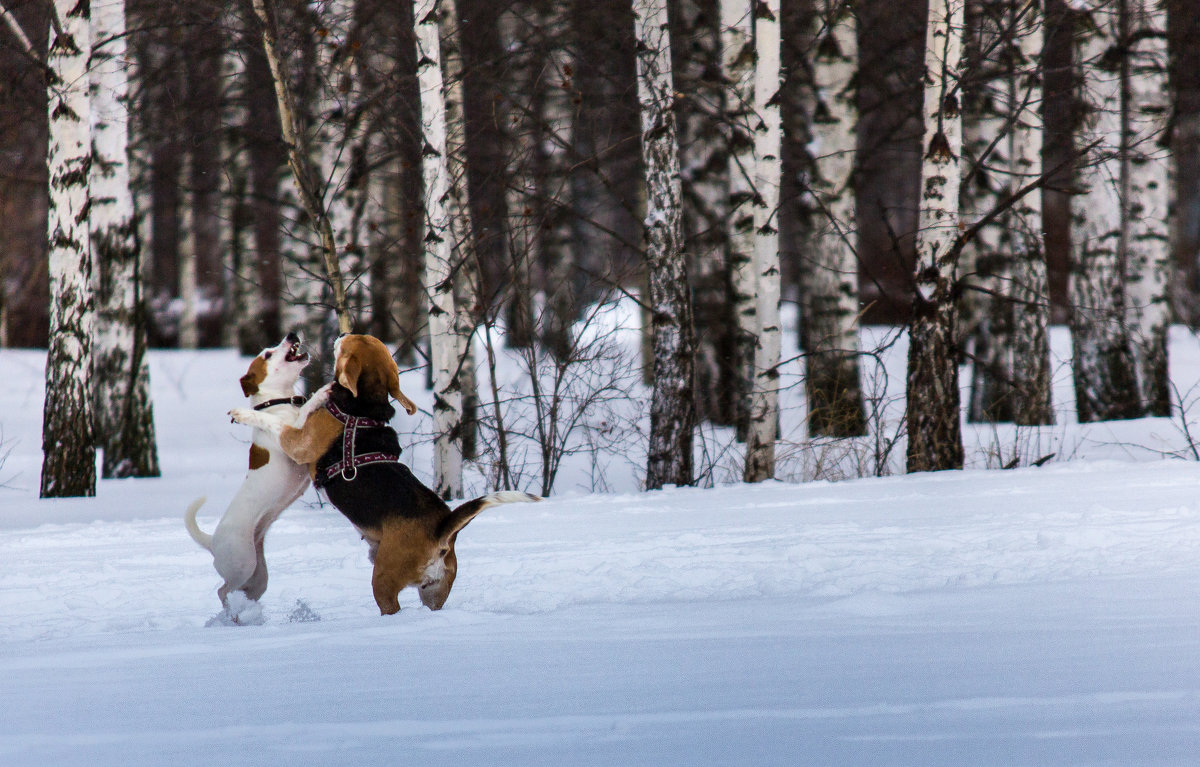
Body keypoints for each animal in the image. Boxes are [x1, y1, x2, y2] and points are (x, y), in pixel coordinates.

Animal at [183, 333, 312, 619]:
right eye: (267, 354)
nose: (291, 335)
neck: (280, 402)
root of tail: (212, 542)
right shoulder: (295, 440)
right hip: (242, 562)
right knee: (223, 591)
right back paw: (233, 613)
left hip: (257, 576)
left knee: (239, 592)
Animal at [229, 333, 540, 614]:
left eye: (350, 340)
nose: (342, 333)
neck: (362, 405)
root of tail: (442, 530)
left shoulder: (298, 443)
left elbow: (274, 421)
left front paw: (244, 414)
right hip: (435, 592)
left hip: (383, 580)